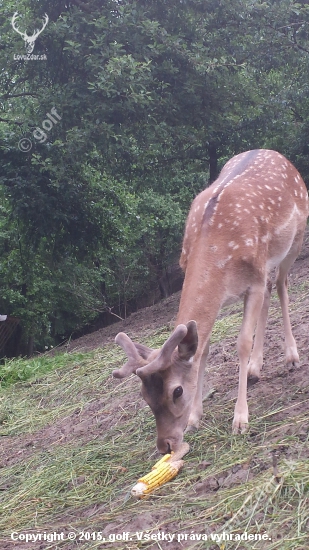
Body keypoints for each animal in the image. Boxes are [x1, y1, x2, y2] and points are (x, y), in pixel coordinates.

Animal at [113, 149, 308, 454]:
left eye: (176, 391)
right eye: (144, 396)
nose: (166, 445)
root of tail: (278, 155)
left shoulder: (252, 282)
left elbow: (242, 342)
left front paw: (240, 420)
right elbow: (202, 349)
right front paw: (195, 417)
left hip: (295, 241)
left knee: (280, 285)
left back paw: (291, 356)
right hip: (266, 264)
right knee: (269, 291)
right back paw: (255, 369)